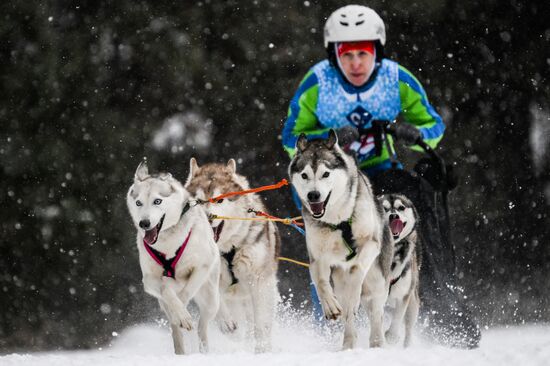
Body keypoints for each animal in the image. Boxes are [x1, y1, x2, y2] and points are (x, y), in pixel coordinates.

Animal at [126, 161, 220, 354]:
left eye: (157, 201)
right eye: (138, 203)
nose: (144, 223)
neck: (168, 243)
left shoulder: (201, 267)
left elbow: (184, 295)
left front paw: (183, 314)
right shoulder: (149, 280)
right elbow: (166, 291)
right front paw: (180, 314)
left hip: (211, 299)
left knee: (202, 326)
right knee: (175, 329)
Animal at [185, 159, 280, 354]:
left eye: (219, 200)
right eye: (198, 201)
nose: (208, 217)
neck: (226, 250)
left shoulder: (260, 281)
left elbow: (261, 324)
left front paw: (262, 349)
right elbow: (217, 302)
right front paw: (226, 323)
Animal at [288, 131, 392, 348]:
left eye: (326, 174)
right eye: (305, 175)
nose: (313, 195)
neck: (337, 219)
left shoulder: (370, 243)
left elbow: (356, 269)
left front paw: (354, 289)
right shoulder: (317, 258)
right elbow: (320, 282)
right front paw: (330, 306)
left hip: (377, 282)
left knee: (376, 314)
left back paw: (377, 342)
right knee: (349, 317)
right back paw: (348, 343)